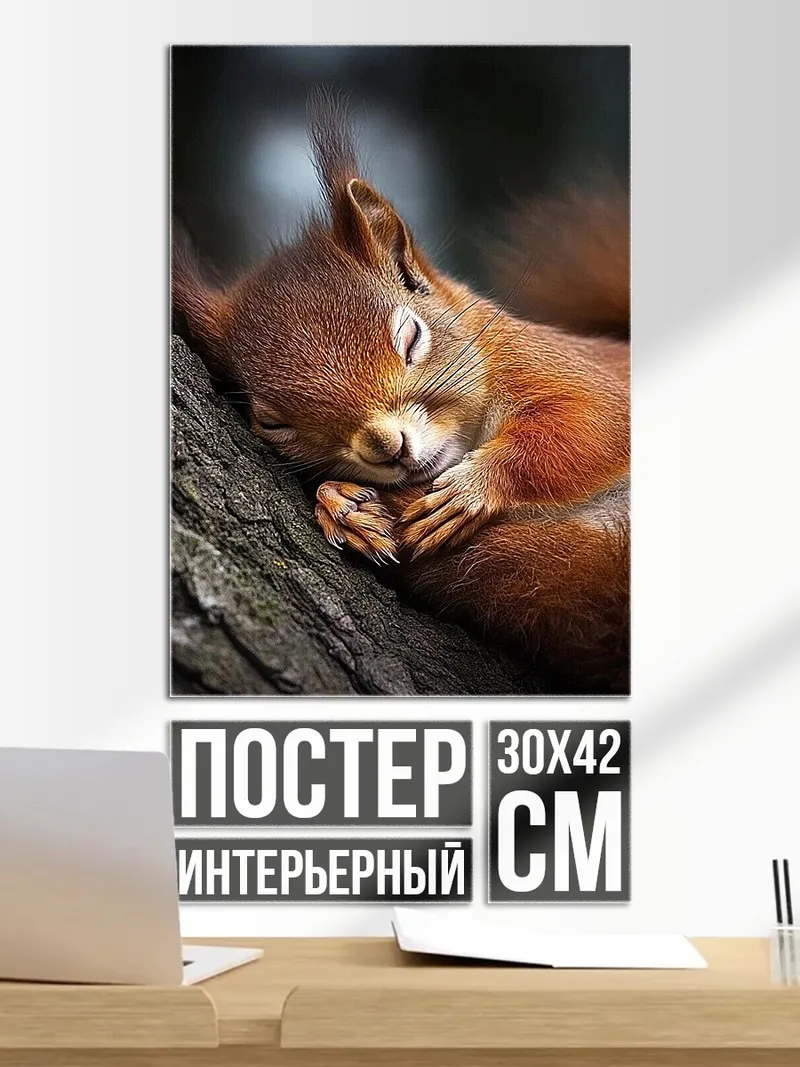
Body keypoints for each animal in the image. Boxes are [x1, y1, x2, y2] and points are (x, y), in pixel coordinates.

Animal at [172, 91, 630, 695]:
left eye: (411, 336)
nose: (386, 446)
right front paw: (341, 506)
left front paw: (475, 485)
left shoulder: (556, 364)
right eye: (272, 423)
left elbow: (596, 420)